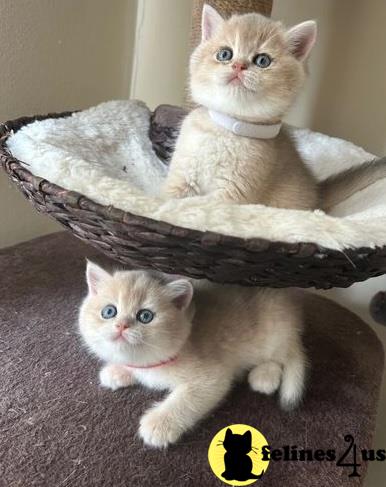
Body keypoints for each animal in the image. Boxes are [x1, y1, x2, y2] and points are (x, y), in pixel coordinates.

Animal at [80, 264, 306, 450]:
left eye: (145, 316)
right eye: (109, 311)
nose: (121, 326)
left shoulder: (212, 378)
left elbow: (186, 400)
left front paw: (158, 424)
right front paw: (117, 370)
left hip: (273, 333)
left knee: (281, 358)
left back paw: (264, 377)